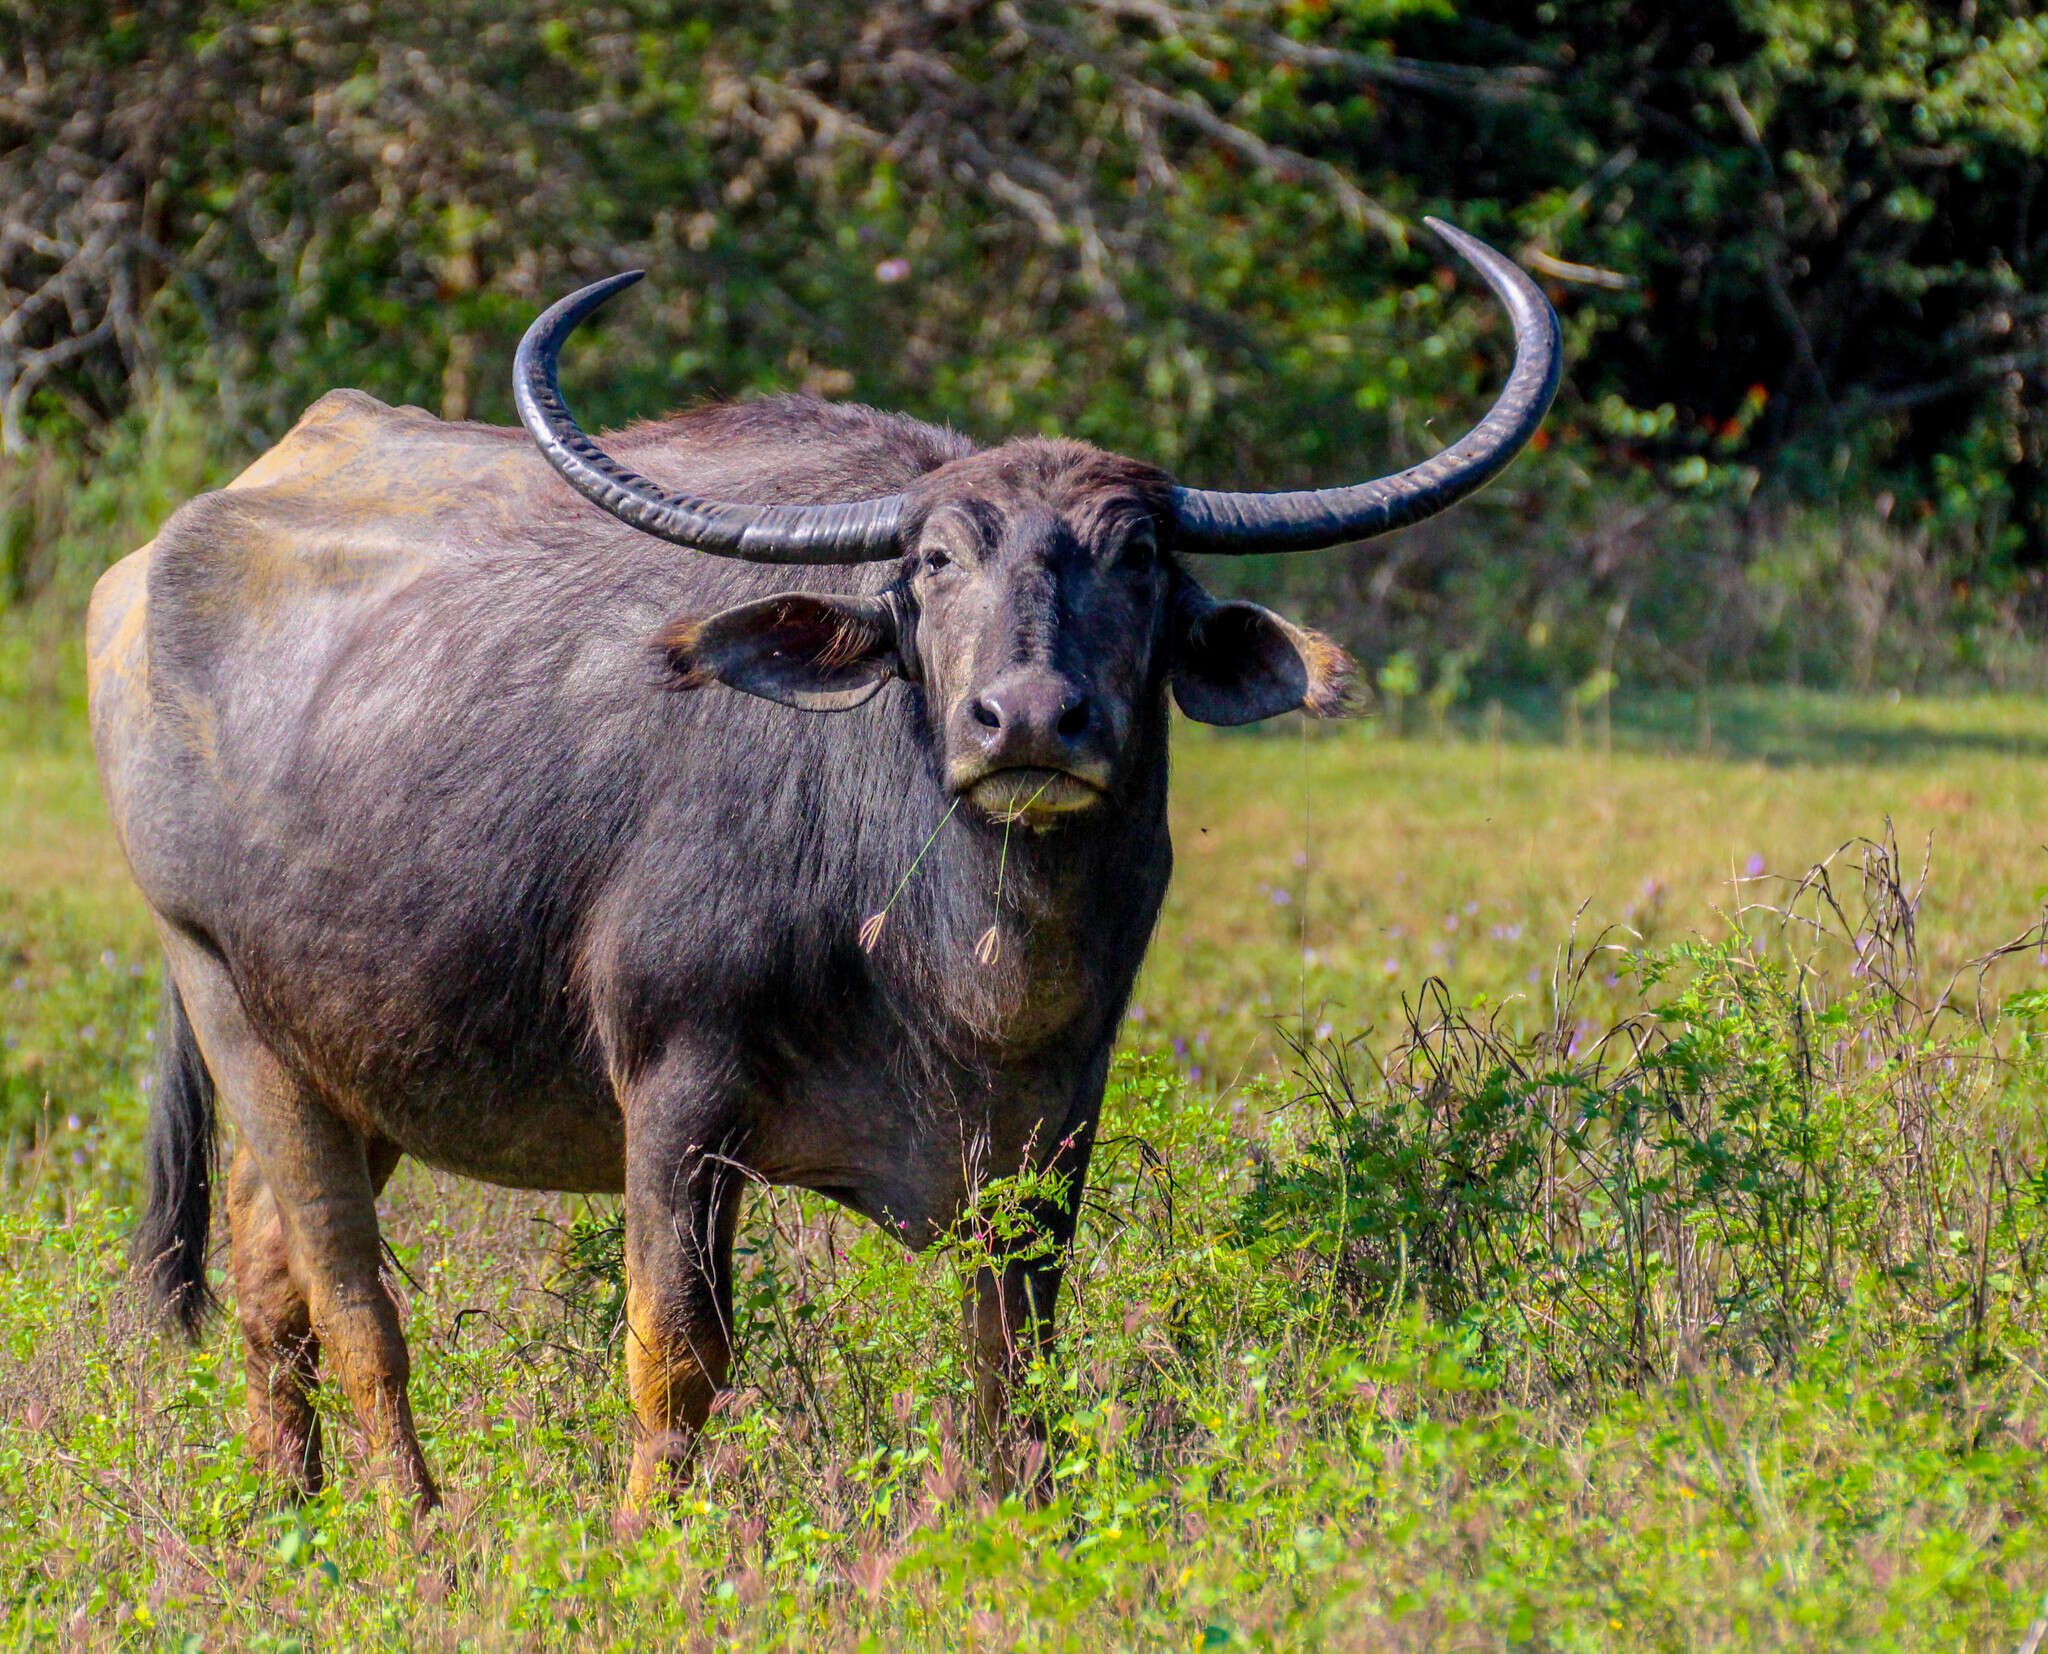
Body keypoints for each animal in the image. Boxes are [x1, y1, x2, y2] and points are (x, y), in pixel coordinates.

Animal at [83, 223, 1548, 1514]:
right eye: (933, 560)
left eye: (1137, 556)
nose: (1026, 720)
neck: (957, 961)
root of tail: (149, 566)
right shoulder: (676, 1092)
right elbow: (676, 1353)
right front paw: (649, 1544)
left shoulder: (1052, 1119)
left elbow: (1013, 1360)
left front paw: (1016, 1523)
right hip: (230, 1006)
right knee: (348, 1297)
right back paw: (414, 1529)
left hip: (355, 1052)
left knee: (269, 1281)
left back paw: (293, 1509)